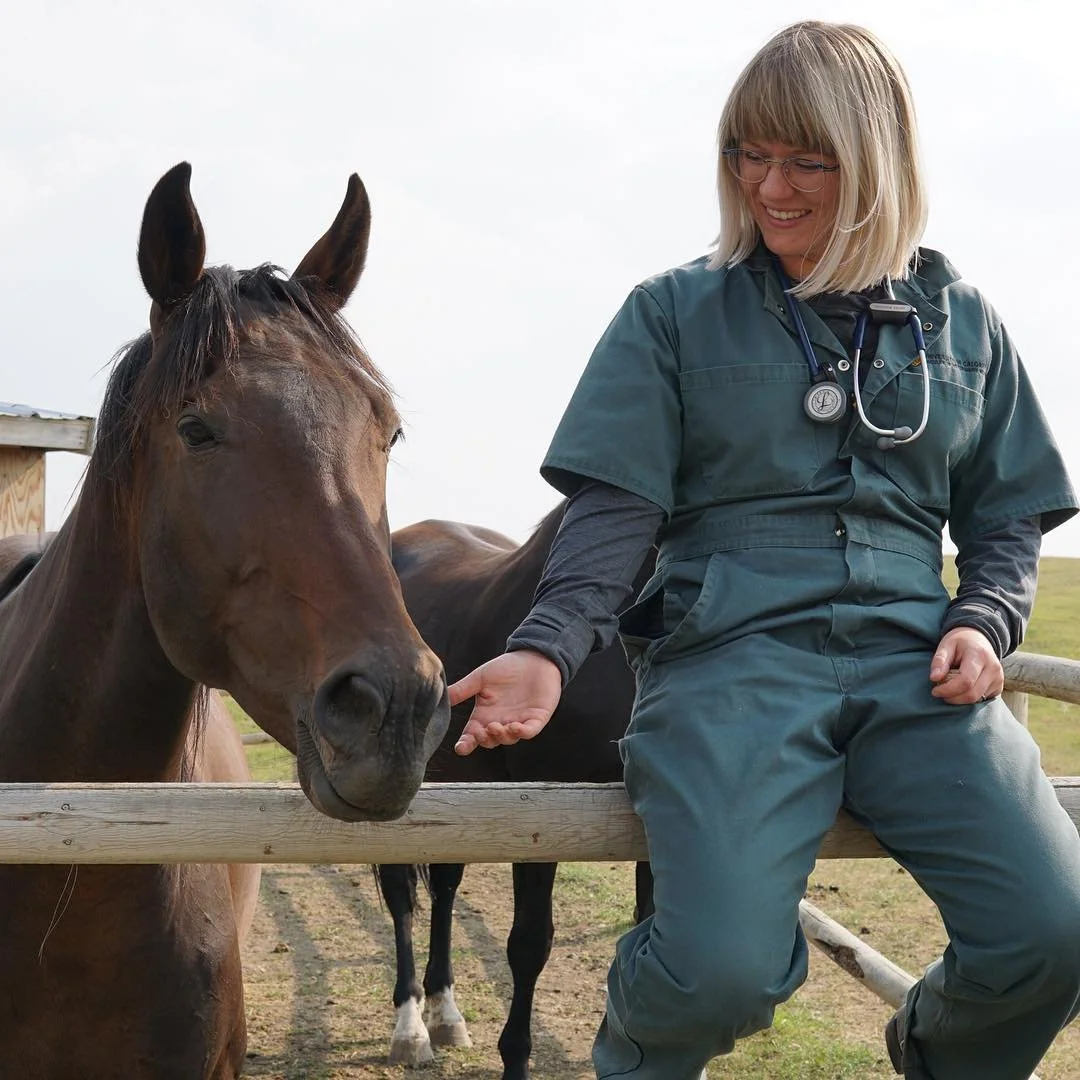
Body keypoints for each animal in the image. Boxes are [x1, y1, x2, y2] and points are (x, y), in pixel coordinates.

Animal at [377, 503, 654, 1079]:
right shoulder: (541, 817)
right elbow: (528, 945)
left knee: (445, 887)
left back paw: (446, 1011)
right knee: (402, 897)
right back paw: (411, 1027)